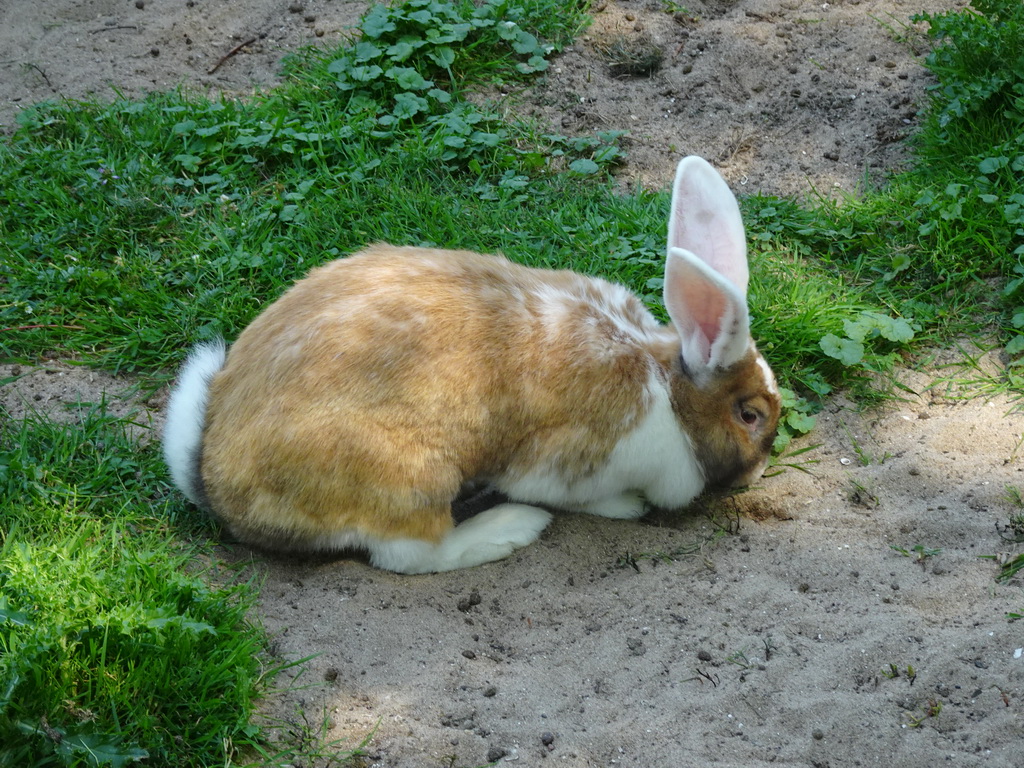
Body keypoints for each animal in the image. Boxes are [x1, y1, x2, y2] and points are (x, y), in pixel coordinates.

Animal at [163, 156, 778, 573]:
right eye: (749, 416)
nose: (757, 472)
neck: (667, 388)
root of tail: (217, 485)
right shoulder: (564, 467)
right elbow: (585, 496)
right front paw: (626, 507)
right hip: (411, 479)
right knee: (409, 553)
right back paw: (512, 528)